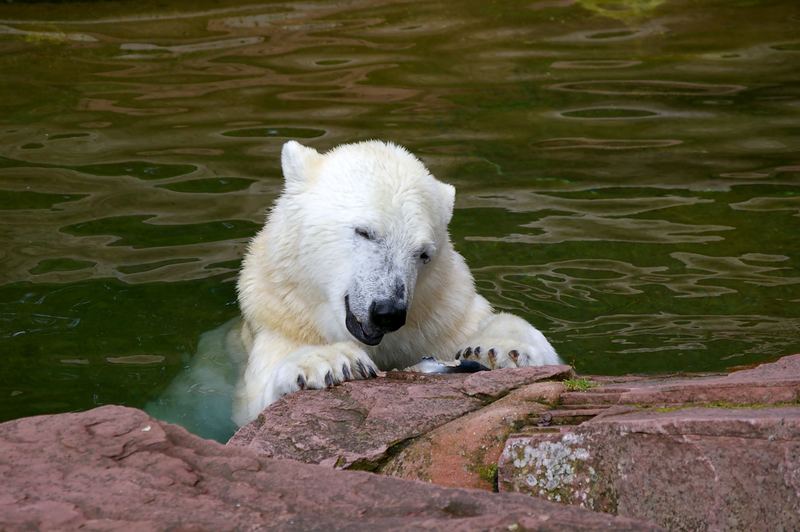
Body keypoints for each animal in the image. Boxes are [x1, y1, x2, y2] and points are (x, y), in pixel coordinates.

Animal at [233, 140, 564, 424]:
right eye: (365, 231)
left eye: (423, 254)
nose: (388, 312)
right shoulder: (279, 319)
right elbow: (256, 401)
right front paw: (331, 362)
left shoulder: (442, 314)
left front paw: (501, 348)